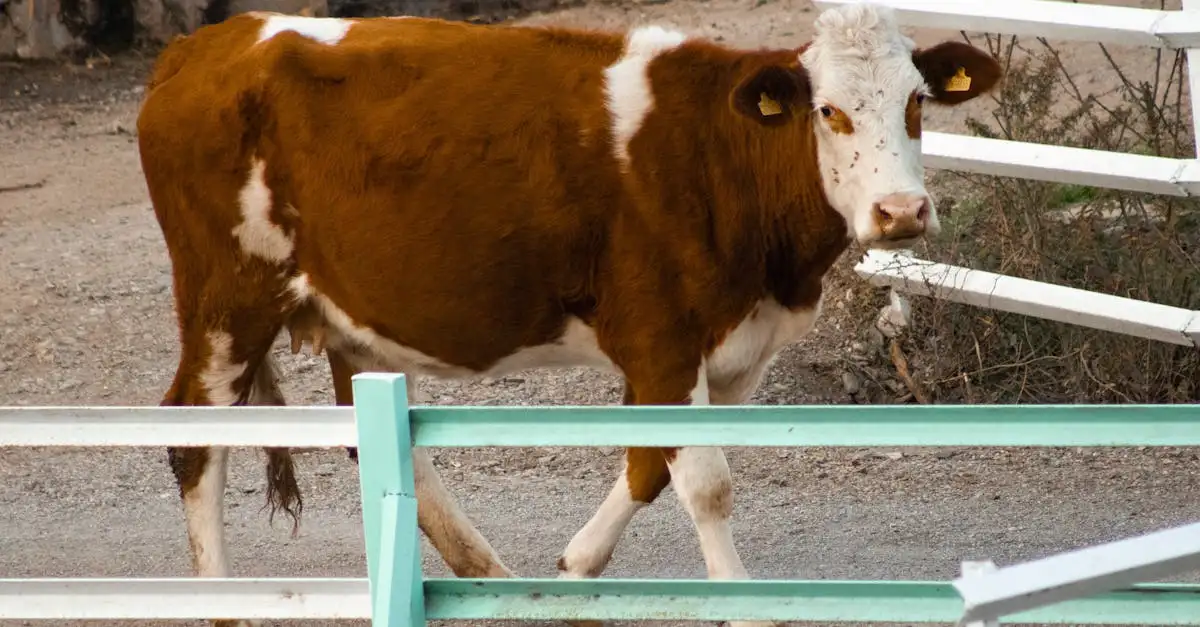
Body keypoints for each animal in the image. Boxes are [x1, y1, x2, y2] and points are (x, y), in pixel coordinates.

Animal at [136, 4, 1000, 626]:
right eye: (828, 112)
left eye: (916, 103)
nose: (901, 212)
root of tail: (209, 45)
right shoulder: (661, 337)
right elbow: (706, 483)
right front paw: (741, 602)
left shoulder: (734, 347)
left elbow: (650, 464)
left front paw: (576, 566)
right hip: (228, 298)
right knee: (193, 439)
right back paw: (222, 606)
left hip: (348, 310)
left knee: (372, 433)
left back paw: (484, 571)